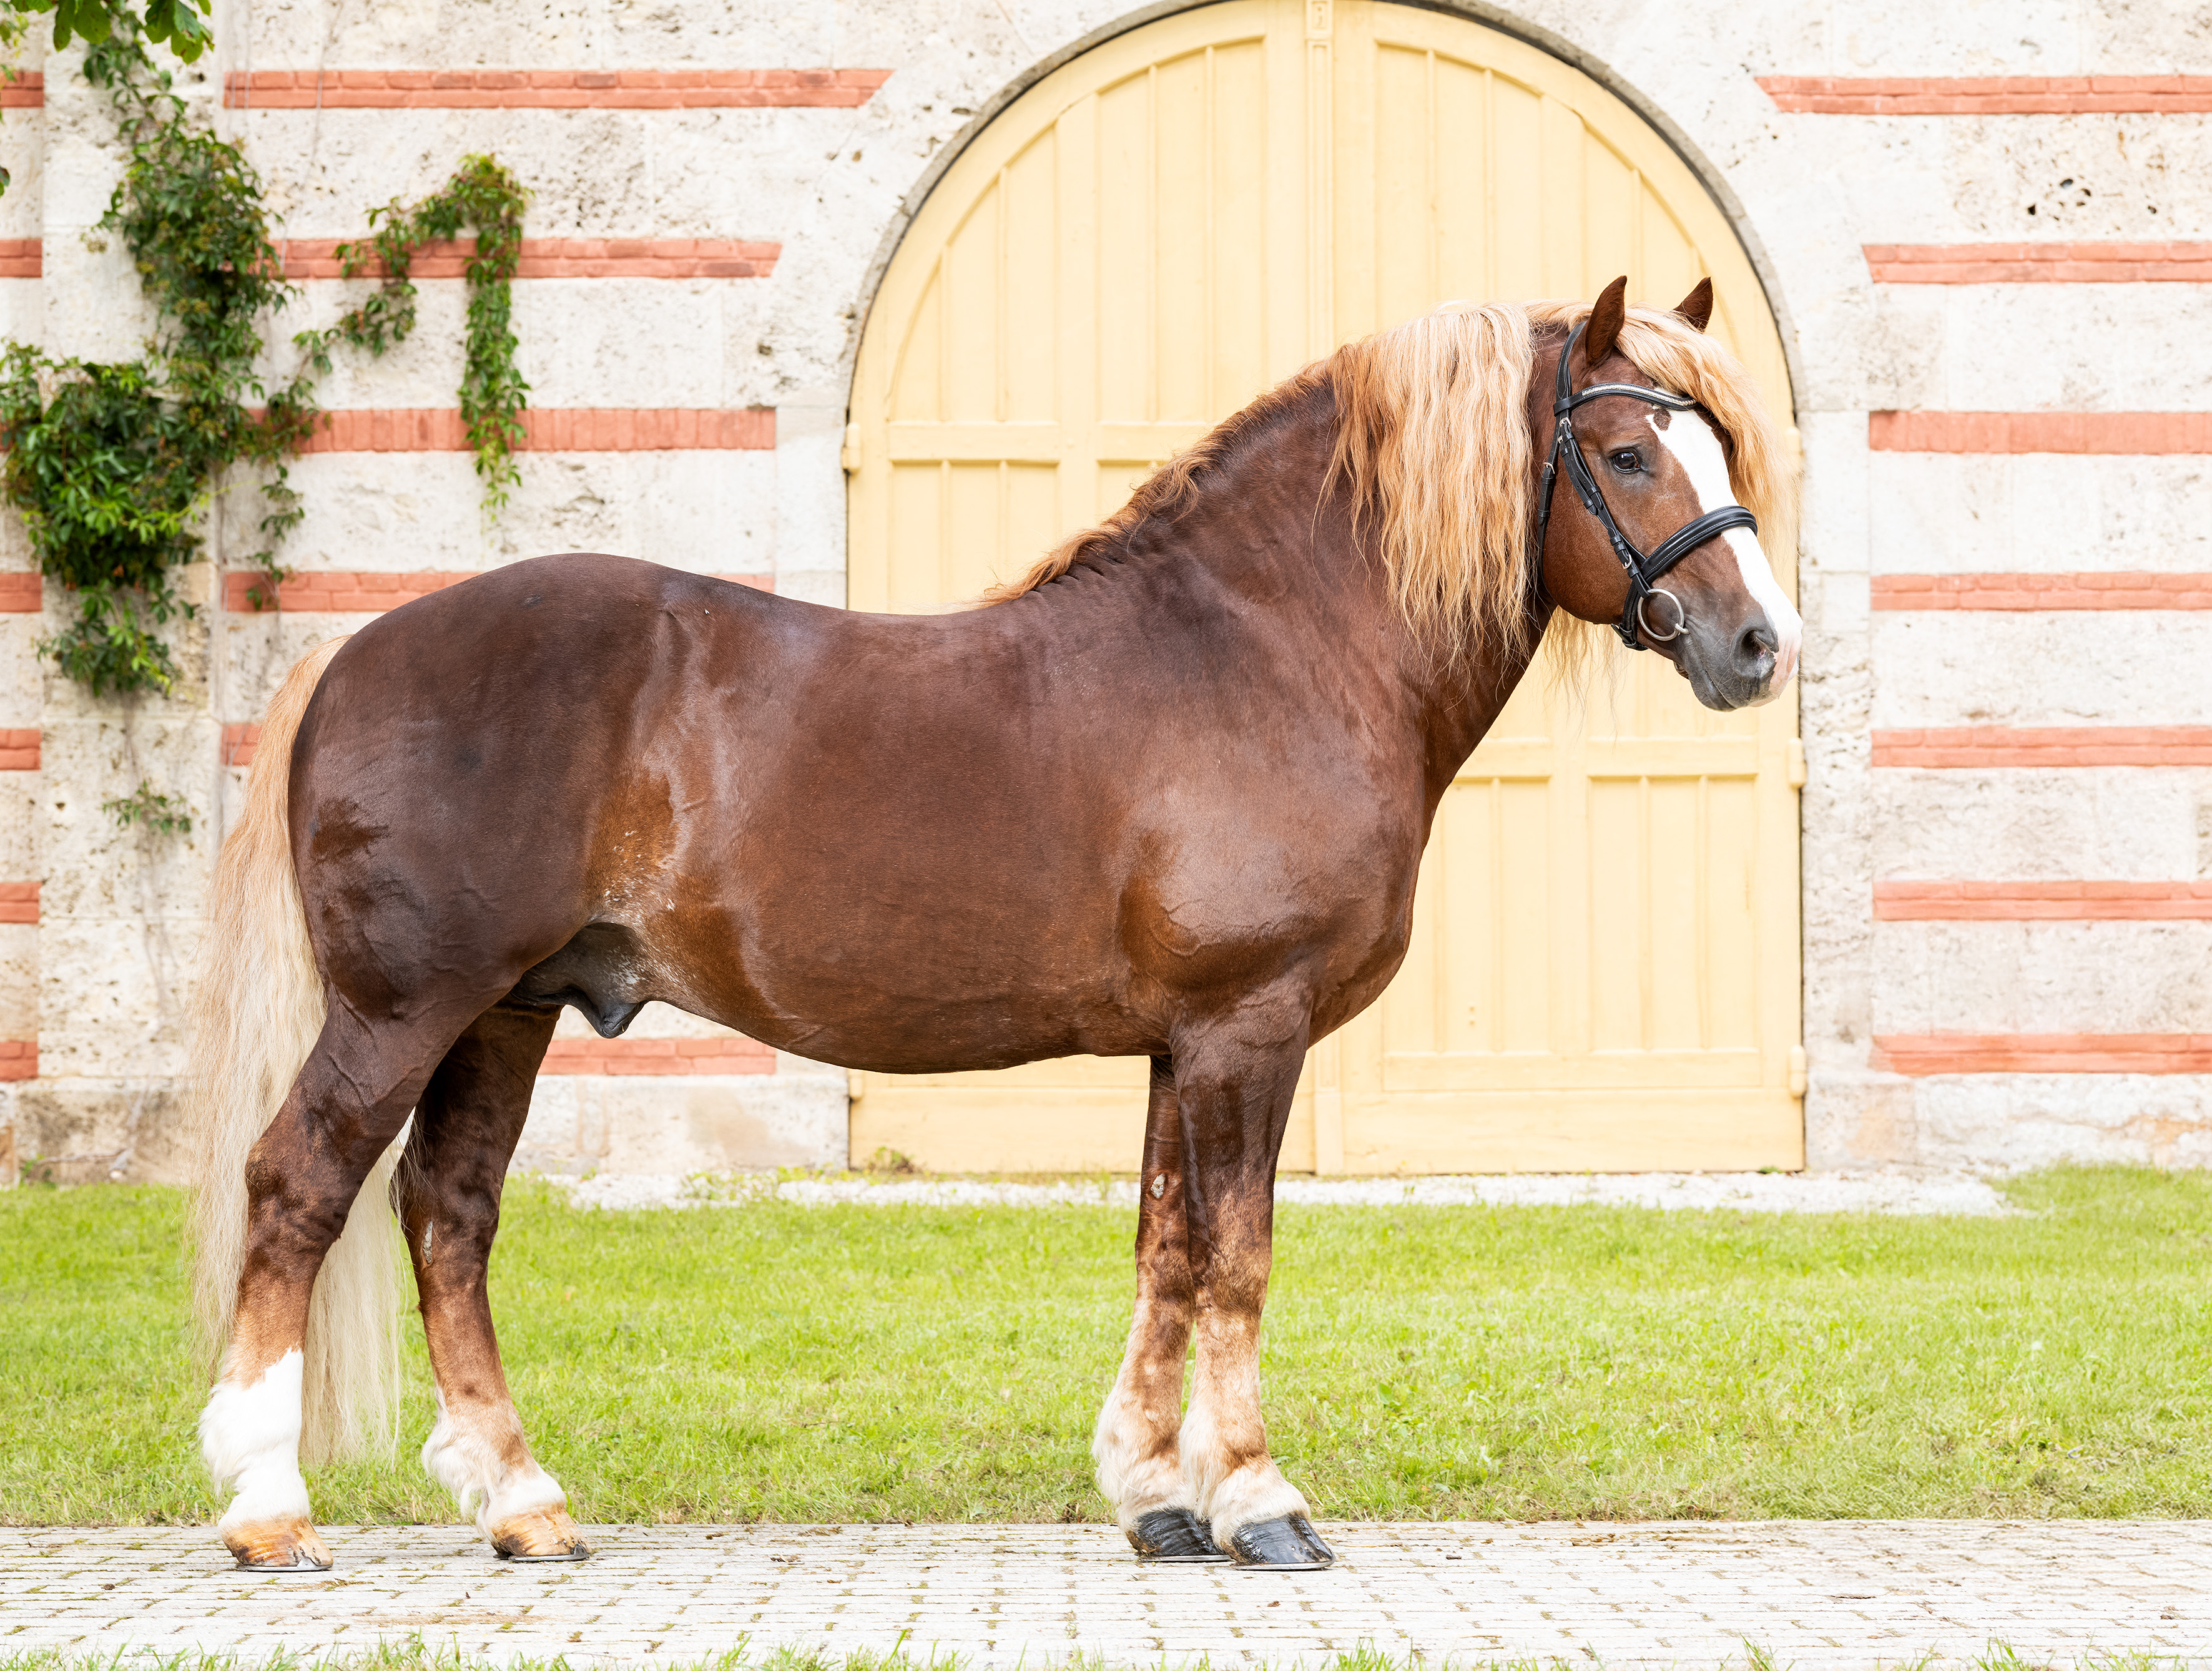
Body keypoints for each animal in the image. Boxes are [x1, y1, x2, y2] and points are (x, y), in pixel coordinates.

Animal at [190, 274, 1796, 1565]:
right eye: (1629, 450)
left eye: (1717, 444)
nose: (1756, 646)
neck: (1266, 651)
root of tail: (355, 653)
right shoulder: (1248, 1028)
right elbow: (1238, 1256)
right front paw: (1259, 1501)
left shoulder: (1181, 1046)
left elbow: (1164, 1249)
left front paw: (1155, 1497)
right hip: (403, 1008)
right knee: (301, 1186)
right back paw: (269, 1508)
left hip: (507, 1011)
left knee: (448, 1215)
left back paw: (524, 1503)